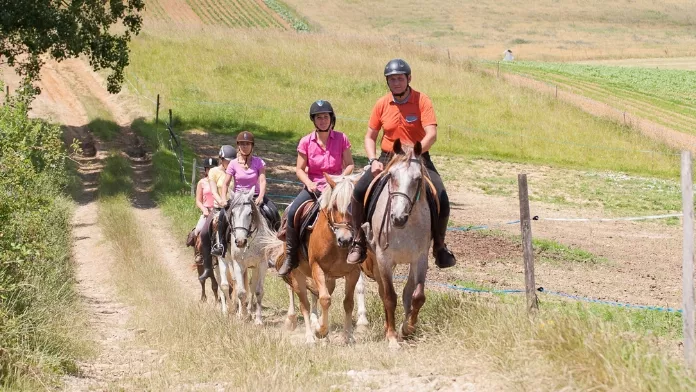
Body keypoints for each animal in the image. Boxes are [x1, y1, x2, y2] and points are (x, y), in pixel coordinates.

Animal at [215, 187, 274, 324]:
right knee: (229, 285)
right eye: (232, 213)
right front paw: (243, 316)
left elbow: (258, 291)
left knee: (251, 286)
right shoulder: (238, 264)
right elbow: (241, 292)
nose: (240, 242)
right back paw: (235, 311)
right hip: (225, 259)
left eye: (250, 213)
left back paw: (249, 310)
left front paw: (258, 320)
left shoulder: (262, 264)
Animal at [264, 174, 368, 344]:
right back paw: (308, 336)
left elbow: (348, 303)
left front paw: (347, 336)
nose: (345, 240)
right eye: (334, 205)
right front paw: (320, 331)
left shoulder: (352, 273)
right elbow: (325, 299)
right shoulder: (317, 268)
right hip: (296, 273)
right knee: (303, 303)